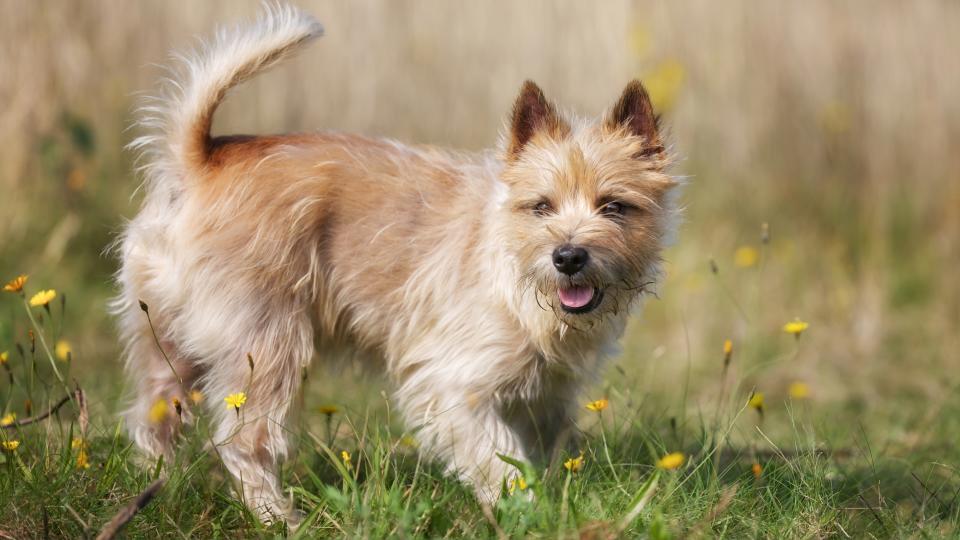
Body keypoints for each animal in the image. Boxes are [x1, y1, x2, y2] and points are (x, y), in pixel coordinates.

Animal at [112, 3, 680, 524]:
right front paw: (523, 510)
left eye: (614, 206)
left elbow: (536, 452)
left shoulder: (545, 397)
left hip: (168, 344)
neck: (518, 278)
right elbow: (499, 459)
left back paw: (152, 490)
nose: (568, 256)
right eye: (540, 206)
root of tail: (199, 160)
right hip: (267, 347)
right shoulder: (452, 383)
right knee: (241, 441)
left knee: (151, 417)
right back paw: (278, 518)